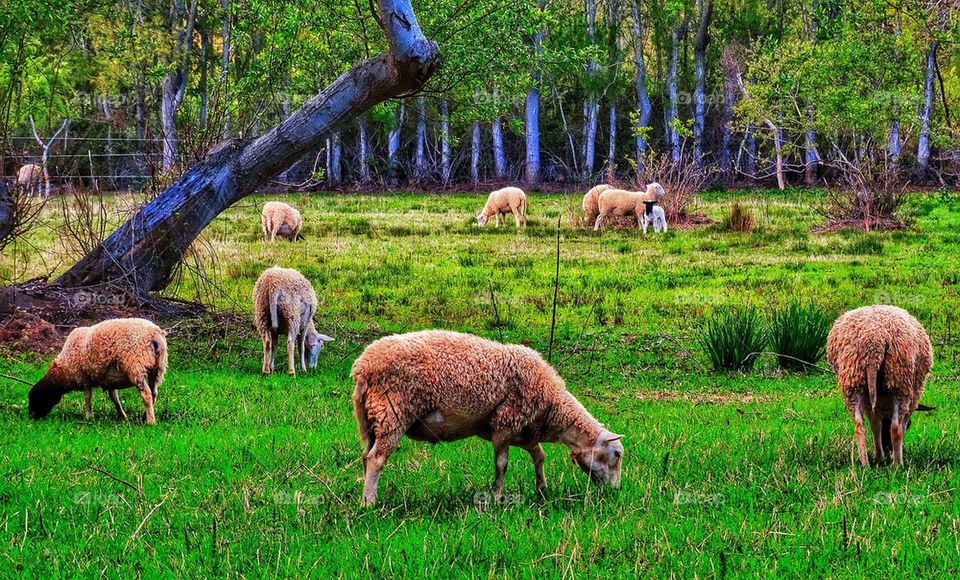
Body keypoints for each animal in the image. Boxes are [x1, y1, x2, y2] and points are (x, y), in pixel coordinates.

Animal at [26, 320, 168, 424]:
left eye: (37, 399)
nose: (31, 417)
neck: (65, 369)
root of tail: (154, 333)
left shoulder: (84, 378)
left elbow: (88, 397)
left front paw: (89, 416)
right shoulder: (110, 380)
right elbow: (114, 398)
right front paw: (123, 416)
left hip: (136, 366)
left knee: (146, 394)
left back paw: (150, 422)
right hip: (157, 369)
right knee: (154, 392)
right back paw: (146, 415)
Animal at [350, 330, 624, 508]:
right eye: (617, 455)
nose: (615, 491)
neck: (552, 407)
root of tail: (363, 367)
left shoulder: (521, 431)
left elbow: (539, 456)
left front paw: (542, 489)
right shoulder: (505, 422)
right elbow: (502, 464)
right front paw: (498, 497)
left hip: (370, 418)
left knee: (366, 456)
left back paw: (365, 494)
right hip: (393, 413)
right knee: (376, 458)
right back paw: (369, 504)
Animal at [828, 306, 932, 468]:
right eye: (910, 425)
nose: (888, 448)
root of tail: (874, 341)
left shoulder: (871, 404)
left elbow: (875, 425)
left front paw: (879, 456)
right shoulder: (911, 400)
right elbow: (899, 426)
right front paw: (890, 456)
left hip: (853, 380)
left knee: (859, 426)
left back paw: (865, 464)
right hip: (899, 381)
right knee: (895, 428)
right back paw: (897, 465)